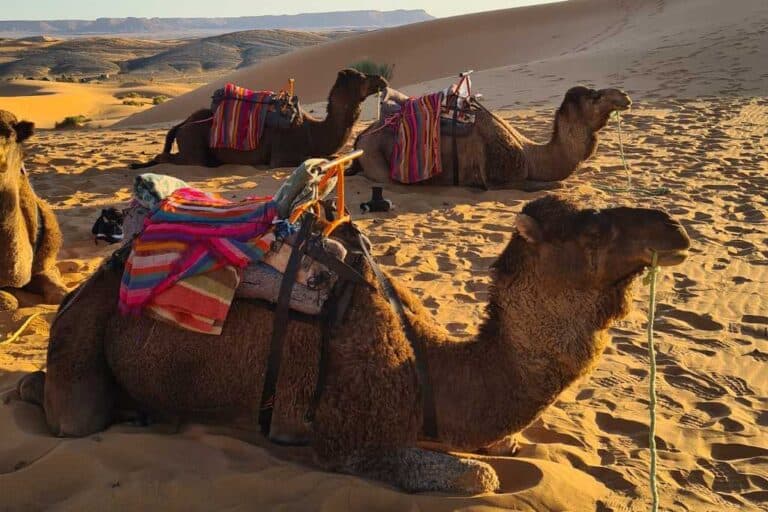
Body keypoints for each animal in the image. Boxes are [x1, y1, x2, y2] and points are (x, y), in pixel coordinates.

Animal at [18, 195, 688, 492]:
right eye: (594, 230)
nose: (675, 229)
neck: (428, 364)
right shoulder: (350, 438)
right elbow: (483, 478)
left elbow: (507, 443)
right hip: (83, 341)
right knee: (74, 414)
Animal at [130, 69, 390, 169]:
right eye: (362, 77)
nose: (382, 79)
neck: (313, 132)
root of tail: (182, 124)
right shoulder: (281, 156)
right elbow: (323, 157)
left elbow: (332, 156)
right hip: (193, 148)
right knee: (171, 158)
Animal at [354, 86, 632, 190]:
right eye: (594, 96)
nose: (625, 96)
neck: (531, 156)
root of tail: (361, 137)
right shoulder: (505, 179)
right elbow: (548, 186)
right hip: (376, 158)